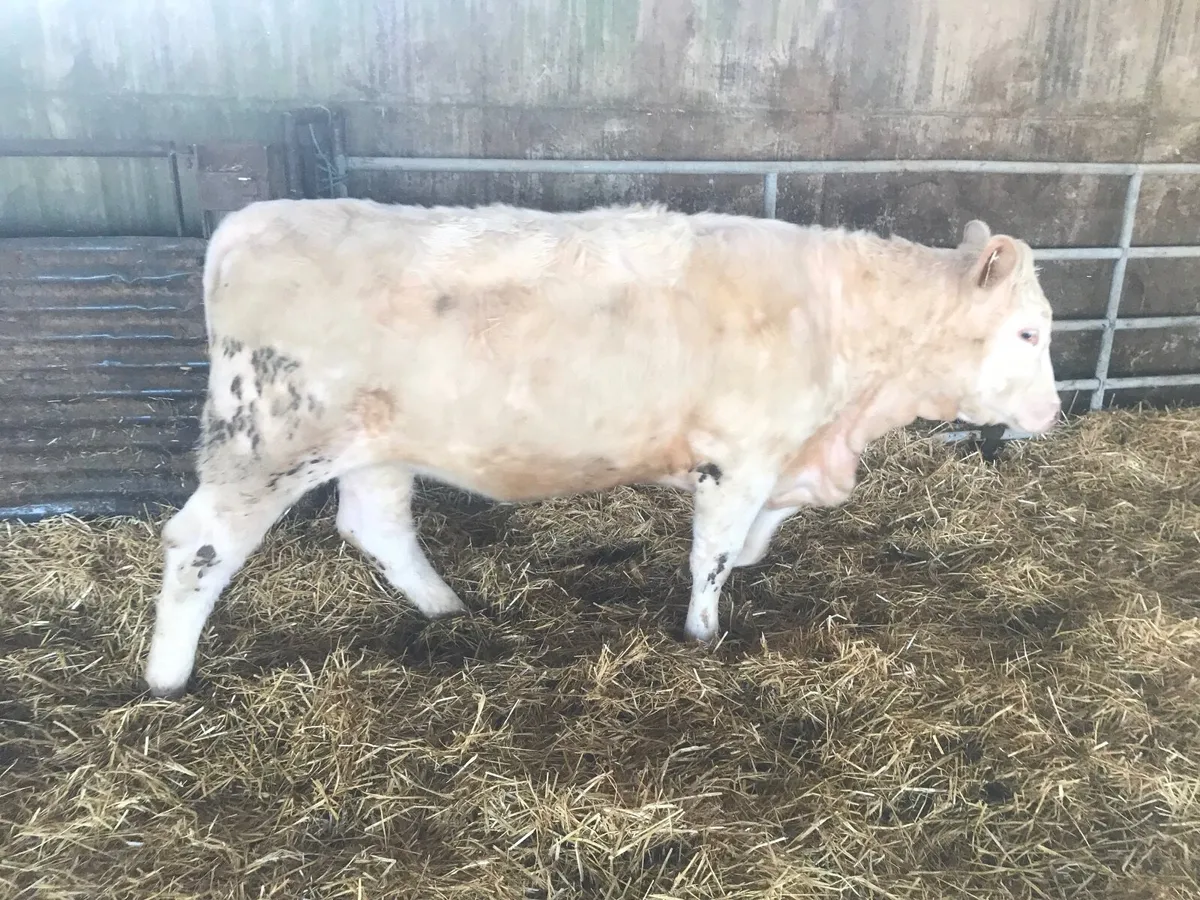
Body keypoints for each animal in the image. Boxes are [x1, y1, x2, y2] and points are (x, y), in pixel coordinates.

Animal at [141, 199, 1060, 699]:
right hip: (265, 443)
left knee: (376, 526)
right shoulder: (739, 455)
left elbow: (755, 540)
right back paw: (166, 680)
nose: (1053, 410)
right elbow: (714, 554)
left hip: (376, 447)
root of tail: (247, 223)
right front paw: (703, 637)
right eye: (1027, 331)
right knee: (200, 544)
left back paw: (451, 612)